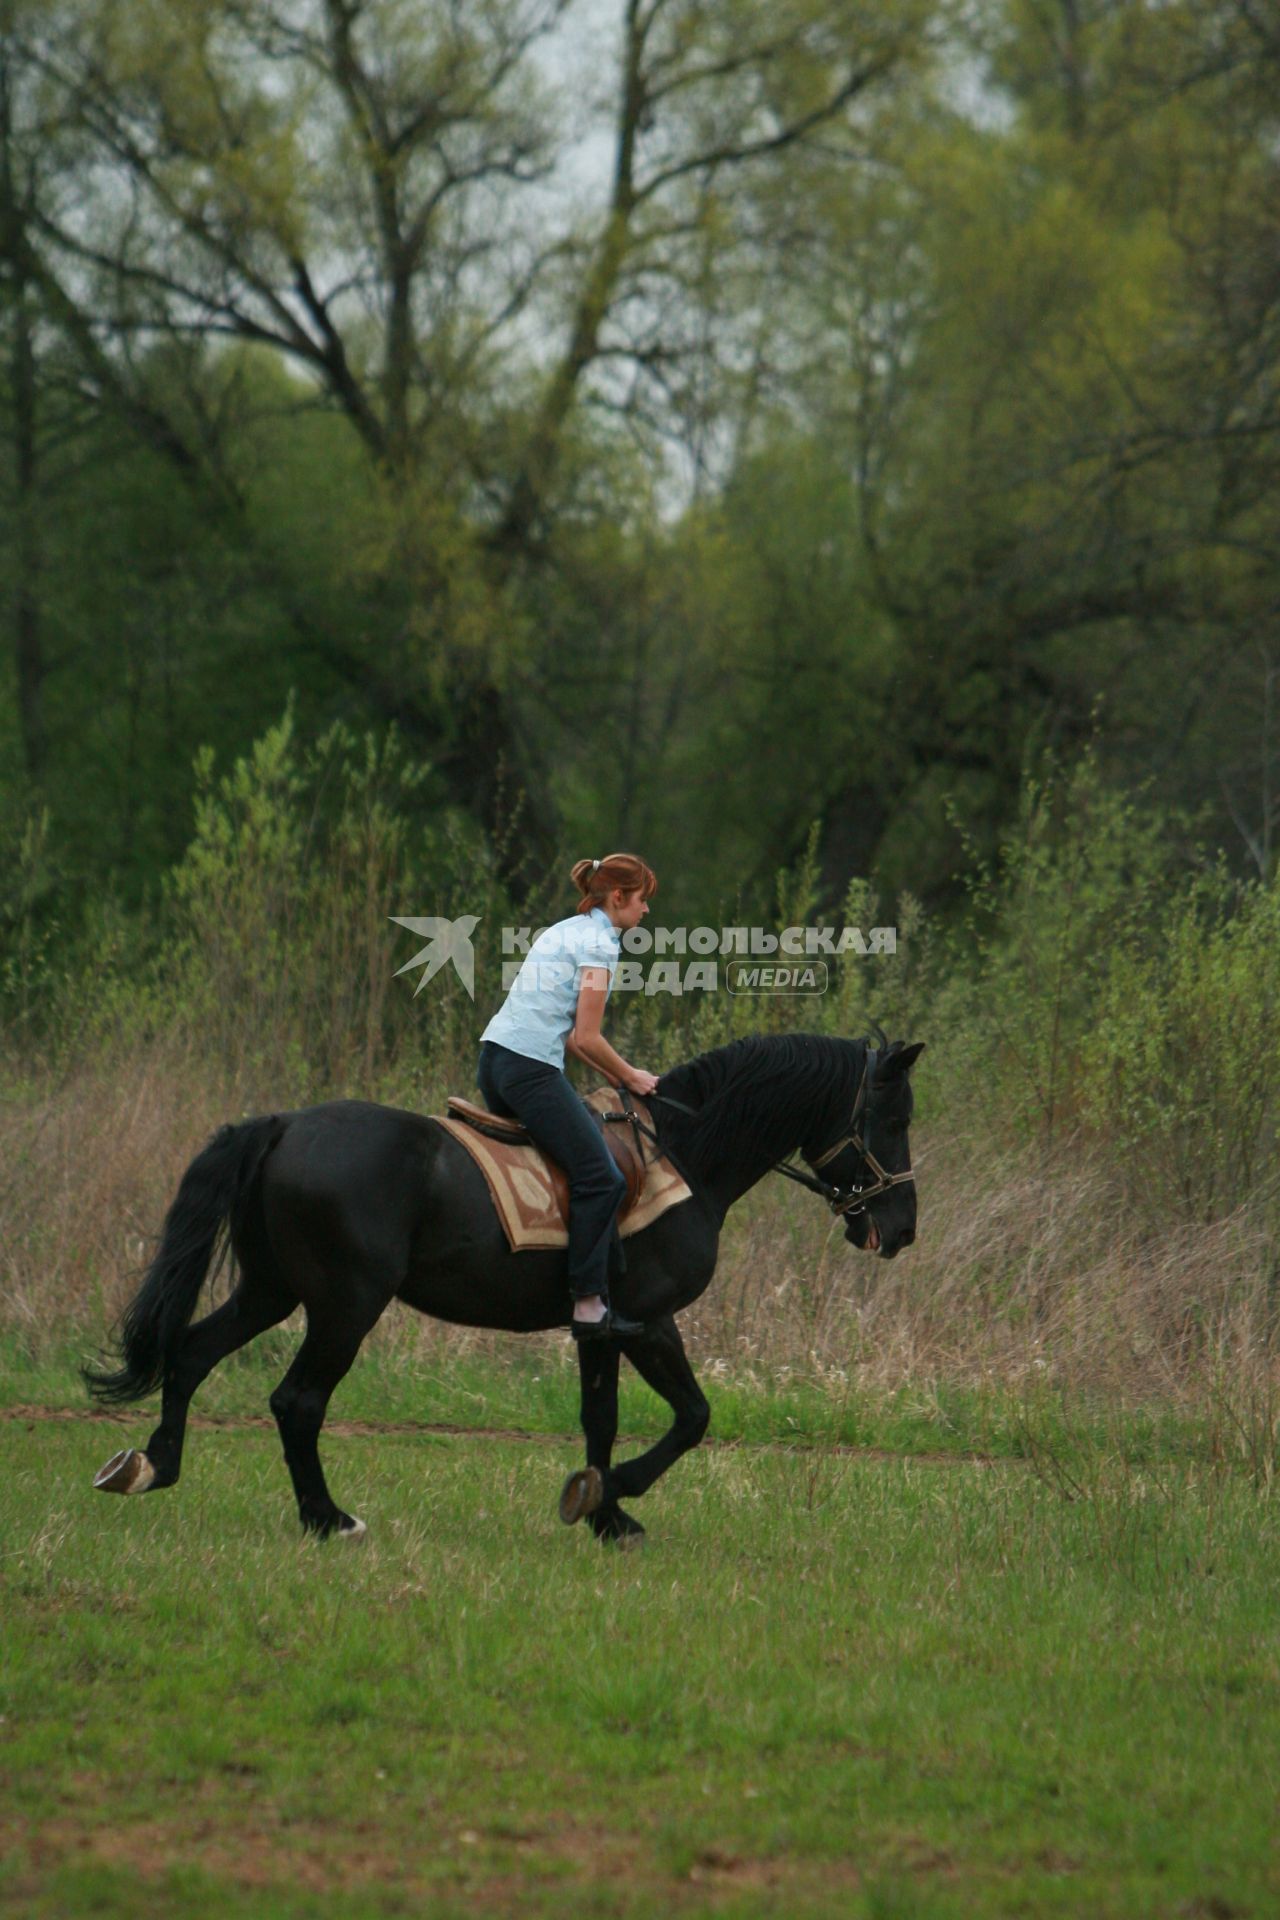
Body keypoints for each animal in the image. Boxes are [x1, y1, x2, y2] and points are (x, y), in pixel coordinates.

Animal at [87, 1036, 921, 1543]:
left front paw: (602, 1510)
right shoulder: (648, 1320)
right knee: (298, 1401)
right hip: (345, 1304)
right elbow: (692, 1417)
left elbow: (602, 1417)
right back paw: (329, 1519)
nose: (905, 1227)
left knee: (191, 1355)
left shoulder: (600, 1328)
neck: (686, 1155)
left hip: (273, 1289)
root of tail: (284, 1124)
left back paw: (150, 1467)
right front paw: (616, 1495)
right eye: (891, 1117)